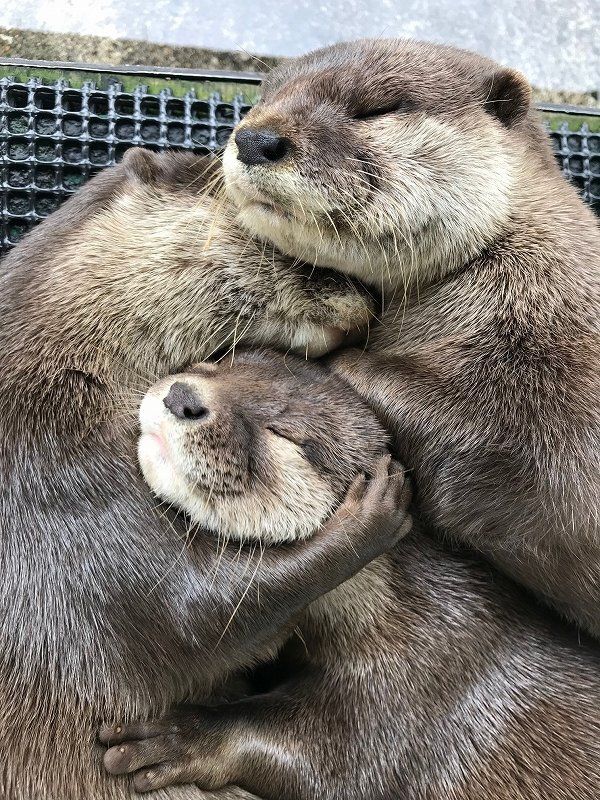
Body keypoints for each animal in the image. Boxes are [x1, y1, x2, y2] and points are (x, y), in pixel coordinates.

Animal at [0, 150, 411, 800]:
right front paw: (366, 518)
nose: (371, 292)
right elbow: (197, 617)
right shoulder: (61, 503)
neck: (50, 380)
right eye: (291, 241)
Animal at [101, 351, 600, 800]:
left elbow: (336, 762)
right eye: (220, 362)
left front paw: (181, 739)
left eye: (285, 435)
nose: (184, 397)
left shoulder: (421, 684)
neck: (405, 613)